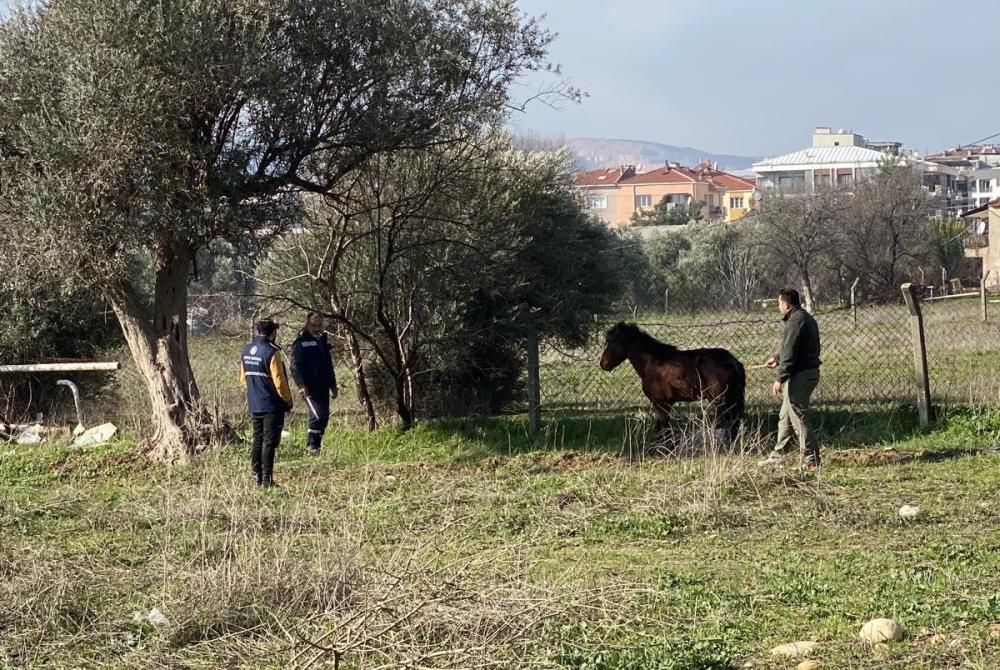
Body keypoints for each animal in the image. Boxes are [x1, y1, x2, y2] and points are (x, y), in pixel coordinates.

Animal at [596, 326, 748, 446]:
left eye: (612, 341)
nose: (603, 364)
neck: (652, 361)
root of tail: (732, 361)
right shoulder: (665, 404)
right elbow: (662, 428)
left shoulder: (660, 404)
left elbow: (665, 428)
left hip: (720, 401)